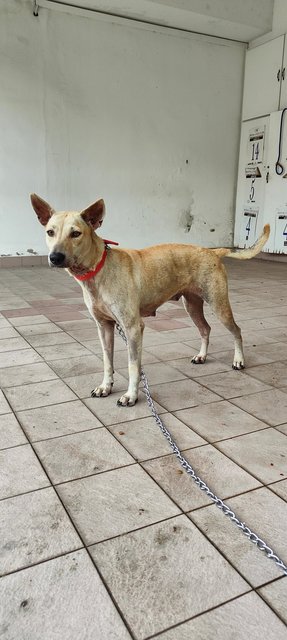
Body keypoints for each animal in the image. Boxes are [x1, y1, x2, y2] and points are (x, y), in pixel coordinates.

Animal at [31, 194, 272, 404]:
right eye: (50, 232)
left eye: (76, 234)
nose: (55, 257)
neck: (99, 269)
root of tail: (213, 251)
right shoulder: (104, 326)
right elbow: (107, 361)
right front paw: (105, 386)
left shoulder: (133, 328)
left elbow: (133, 366)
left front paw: (131, 395)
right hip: (192, 305)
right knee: (205, 329)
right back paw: (201, 356)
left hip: (219, 304)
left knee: (236, 330)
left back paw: (239, 360)